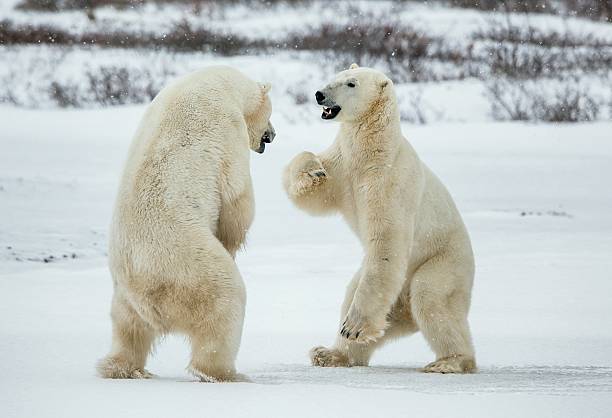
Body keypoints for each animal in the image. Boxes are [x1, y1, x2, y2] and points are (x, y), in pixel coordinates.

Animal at [96, 65, 274, 382]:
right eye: (270, 115)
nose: (273, 135)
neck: (221, 82)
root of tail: (148, 299)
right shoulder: (228, 127)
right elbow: (237, 196)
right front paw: (232, 243)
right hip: (189, 267)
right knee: (226, 303)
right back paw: (224, 373)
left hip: (124, 295)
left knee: (127, 330)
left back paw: (122, 368)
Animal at [284, 62, 476, 372]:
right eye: (336, 76)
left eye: (351, 83)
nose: (319, 94)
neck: (373, 150)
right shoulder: (343, 165)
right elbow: (315, 193)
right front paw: (313, 171)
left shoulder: (387, 181)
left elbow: (387, 239)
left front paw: (354, 327)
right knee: (354, 293)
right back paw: (330, 352)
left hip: (443, 260)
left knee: (431, 298)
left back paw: (449, 361)